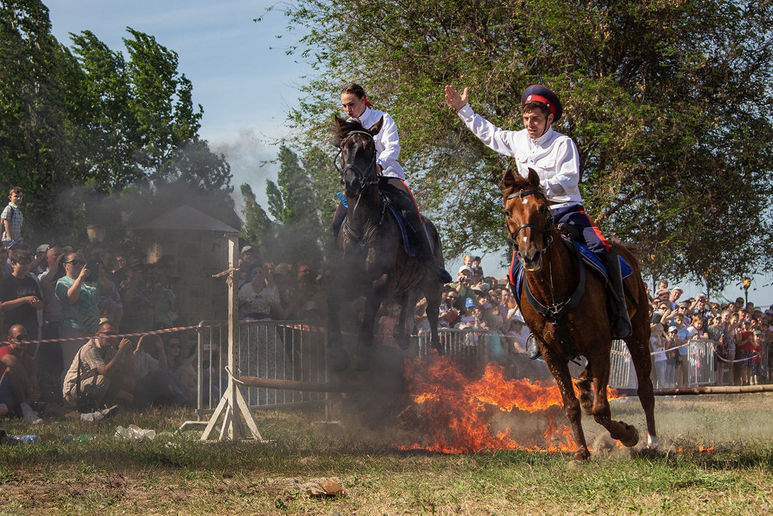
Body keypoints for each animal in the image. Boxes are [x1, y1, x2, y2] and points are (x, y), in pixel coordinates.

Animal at [328, 116, 446, 366]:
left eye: (369, 148)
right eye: (343, 147)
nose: (351, 183)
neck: (364, 226)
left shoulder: (378, 283)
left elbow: (366, 329)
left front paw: (362, 357)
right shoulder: (346, 280)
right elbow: (332, 305)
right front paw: (337, 351)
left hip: (432, 284)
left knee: (431, 314)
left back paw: (437, 350)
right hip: (403, 286)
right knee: (406, 303)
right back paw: (401, 335)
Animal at [500, 167, 656, 462]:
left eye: (542, 208)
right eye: (507, 212)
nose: (530, 255)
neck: (554, 294)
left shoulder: (599, 345)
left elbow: (601, 409)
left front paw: (628, 434)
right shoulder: (552, 354)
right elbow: (570, 405)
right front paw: (581, 453)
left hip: (639, 332)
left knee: (645, 390)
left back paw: (654, 442)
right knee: (586, 383)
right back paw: (584, 386)